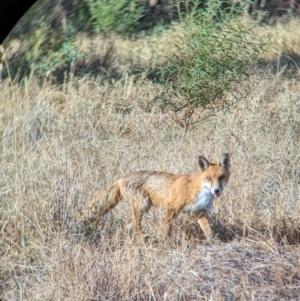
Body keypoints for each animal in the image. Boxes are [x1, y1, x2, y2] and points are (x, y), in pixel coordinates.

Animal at [83, 154, 231, 240]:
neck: (198, 190)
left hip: (141, 208)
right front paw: (164, 243)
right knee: (135, 225)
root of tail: (122, 178)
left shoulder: (200, 212)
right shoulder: (172, 207)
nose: (216, 190)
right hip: (142, 206)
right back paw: (142, 241)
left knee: (126, 225)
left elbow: (208, 231)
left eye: (221, 177)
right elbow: (167, 228)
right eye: (208, 178)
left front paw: (213, 244)